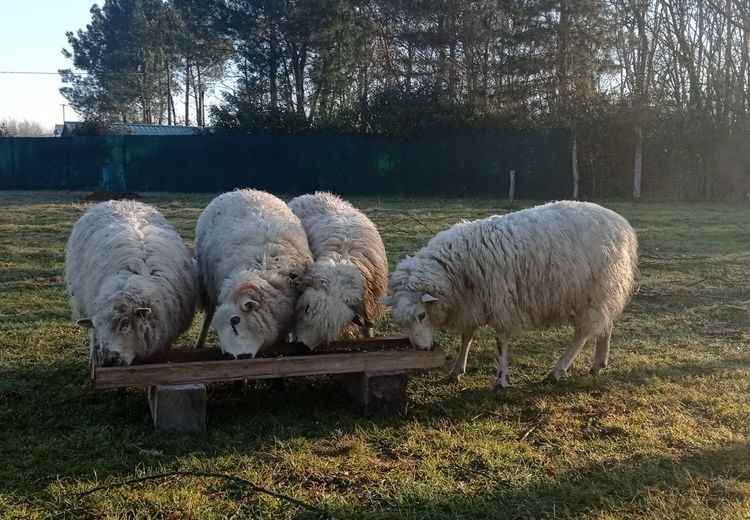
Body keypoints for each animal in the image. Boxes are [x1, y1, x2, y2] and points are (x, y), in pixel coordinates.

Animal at [288, 192, 390, 350]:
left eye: (332, 325)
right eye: (306, 308)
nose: (301, 347)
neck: (342, 257)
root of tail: (311, 194)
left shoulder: (369, 303)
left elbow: (368, 328)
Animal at [378, 201, 636, 388]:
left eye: (421, 315)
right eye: (402, 323)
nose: (422, 350)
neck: (457, 267)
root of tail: (621, 223)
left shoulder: (501, 302)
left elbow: (500, 342)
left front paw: (501, 379)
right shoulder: (472, 303)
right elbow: (466, 336)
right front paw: (456, 370)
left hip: (594, 290)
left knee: (583, 333)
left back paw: (556, 371)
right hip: (604, 291)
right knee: (606, 324)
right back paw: (598, 363)